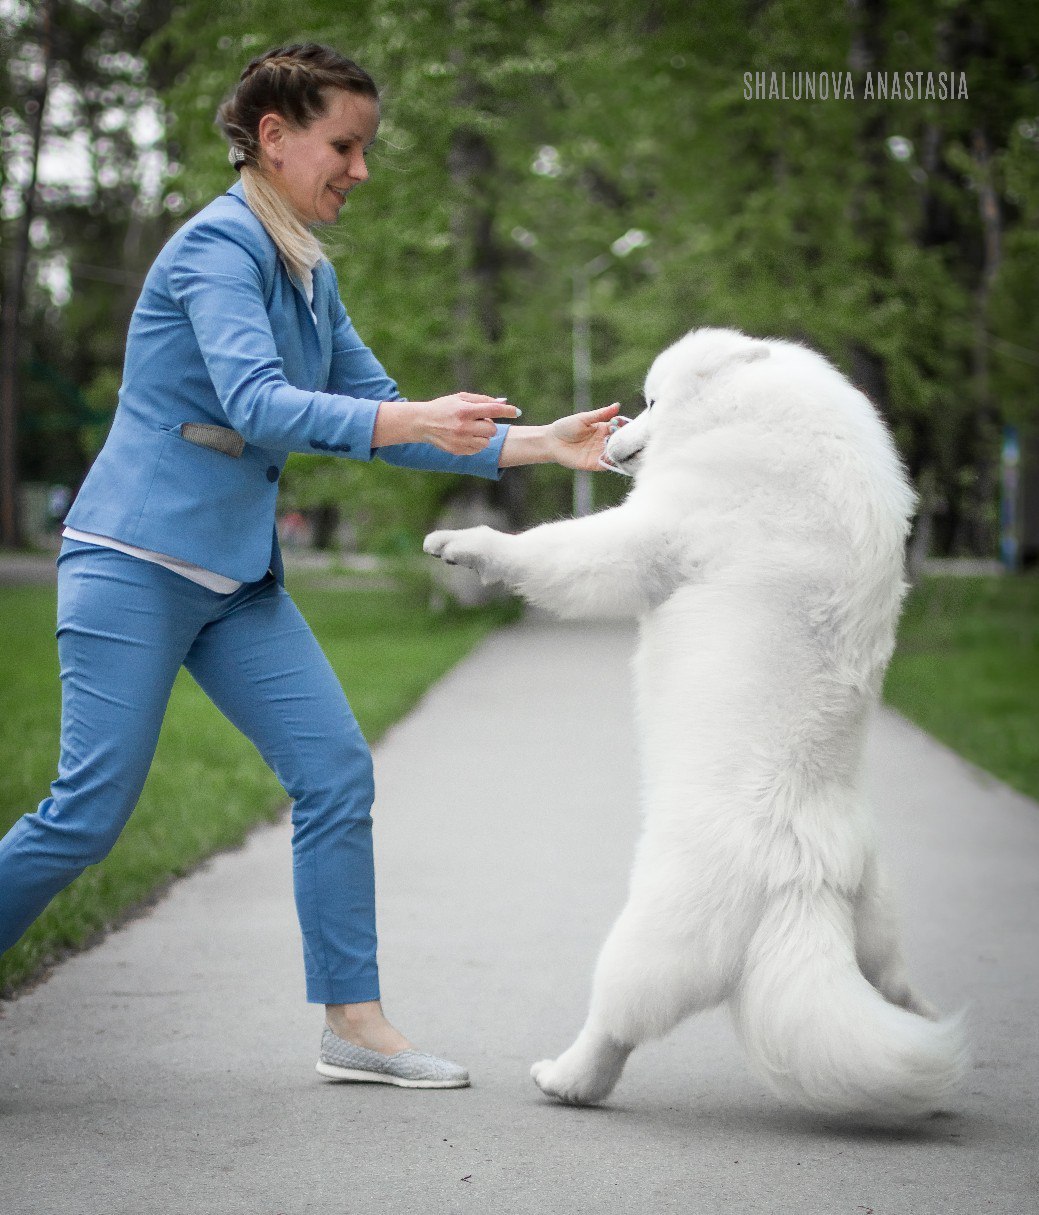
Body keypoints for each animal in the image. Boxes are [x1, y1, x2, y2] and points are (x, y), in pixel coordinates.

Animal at [422, 325, 967, 1117]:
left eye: (652, 402)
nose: (617, 427)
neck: (751, 417)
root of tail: (804, 880)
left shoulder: (646, 538)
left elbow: (558, 549)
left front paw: (467, 544)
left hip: (646, 941)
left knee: (614, 1028)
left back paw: (565, 1078)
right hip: (876, 928)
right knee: (893, 995)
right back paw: (935, 1064)